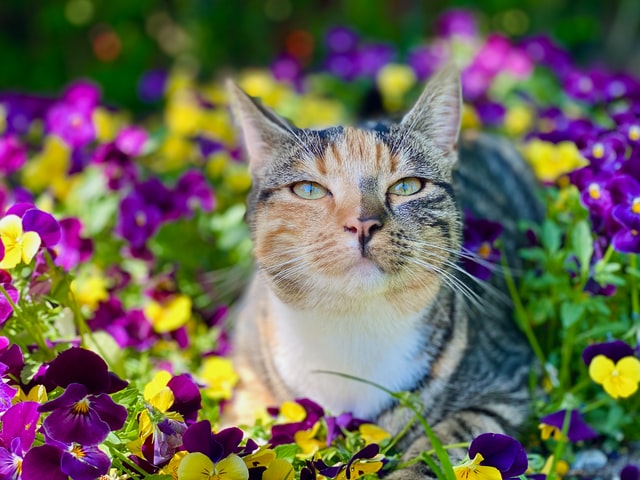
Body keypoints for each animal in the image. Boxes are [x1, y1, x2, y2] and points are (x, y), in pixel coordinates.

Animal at [228, 66, 544, 476]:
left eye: (407, 186)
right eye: (309, 190)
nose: (362, 223)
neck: (352, 327)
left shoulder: (505, 382)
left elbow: (448, 441)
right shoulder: (249, 378)